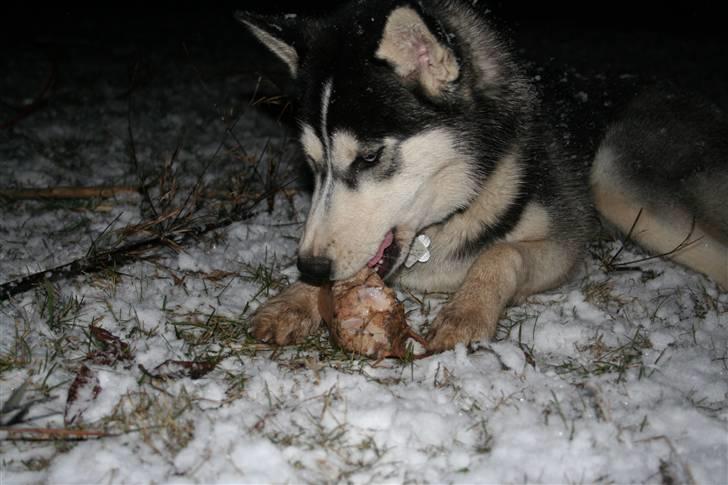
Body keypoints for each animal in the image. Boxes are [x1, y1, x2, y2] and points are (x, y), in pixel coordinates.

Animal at [236, 0, 724, 350]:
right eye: (312, 163)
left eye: (370, 157)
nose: (311, 266)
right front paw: (294, 299)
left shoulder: (567, 243)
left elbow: (500, 253)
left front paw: (467, 311)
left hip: (615, 182)